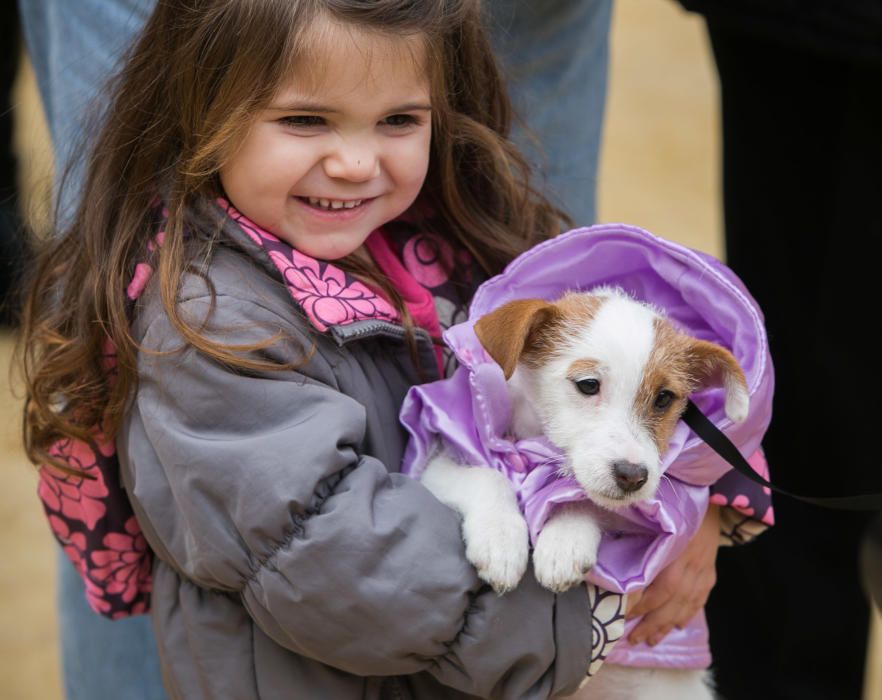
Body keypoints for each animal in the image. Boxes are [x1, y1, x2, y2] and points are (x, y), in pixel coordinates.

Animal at [416, 288, 744, 696]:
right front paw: (500, 540)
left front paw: (563, 541)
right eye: (588, 384)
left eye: (665, 398)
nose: (633, 476)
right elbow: (488, 477)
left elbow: (585, 499)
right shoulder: (436, 465)